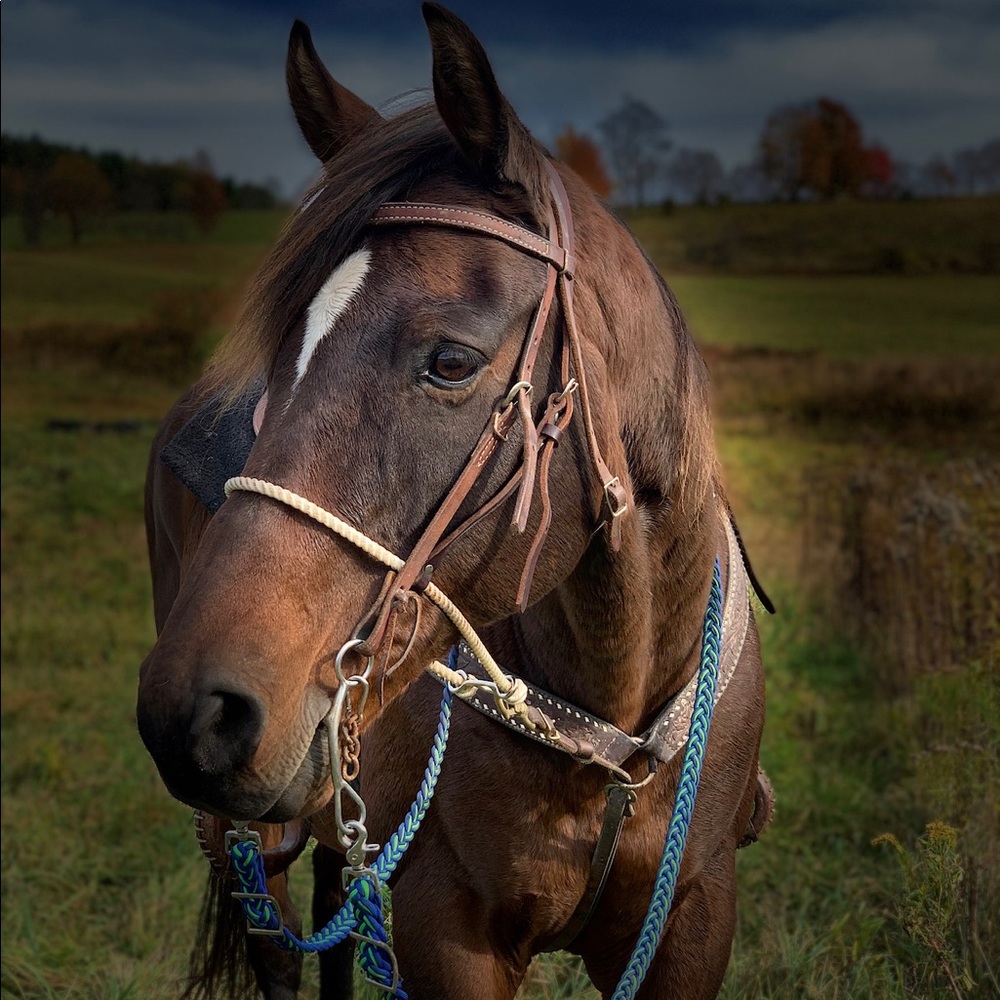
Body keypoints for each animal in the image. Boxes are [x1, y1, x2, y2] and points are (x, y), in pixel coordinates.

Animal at [137, 5, 772, 998]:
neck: (611, 735)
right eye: (280, 352)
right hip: (253, 834)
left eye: (451, 362)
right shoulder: (449, 929)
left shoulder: (694, 922)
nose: (192, 710)